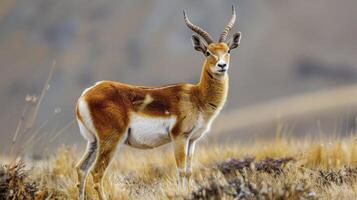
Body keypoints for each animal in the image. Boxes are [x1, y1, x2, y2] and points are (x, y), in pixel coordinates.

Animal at [75, 6, 242, 200]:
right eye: (208, 52)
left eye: (228, 50)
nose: (222, 66)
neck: (197, 97)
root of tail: (85, 95)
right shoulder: (179, 137)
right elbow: (181, 170)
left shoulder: (192, 140)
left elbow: (189, 171)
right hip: (111, 140)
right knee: (96, 172)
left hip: (94, 141)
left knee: (81, 169)